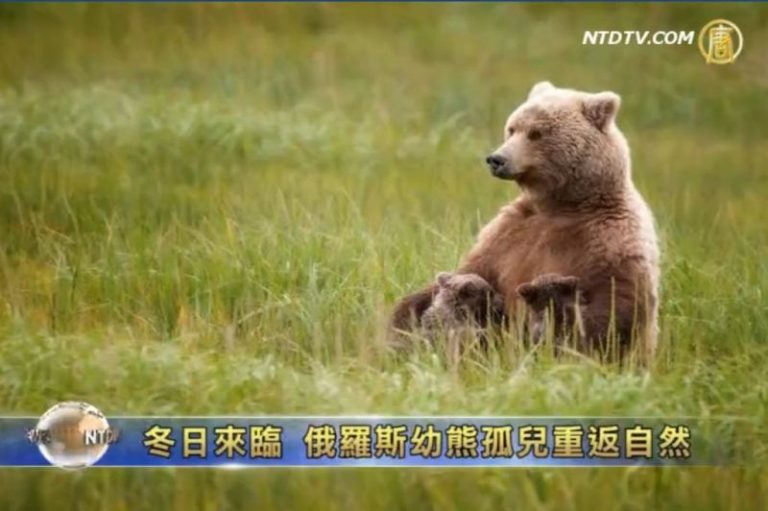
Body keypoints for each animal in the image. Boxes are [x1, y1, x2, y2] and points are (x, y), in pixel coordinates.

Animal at [391, 81, 660, 363]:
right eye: (512, 128)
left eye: (536, 133)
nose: (496, 159)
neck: (562, 205)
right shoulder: (509, 234)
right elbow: (469, 273)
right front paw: (403, 323)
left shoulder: (611, 238)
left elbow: (614, 306)